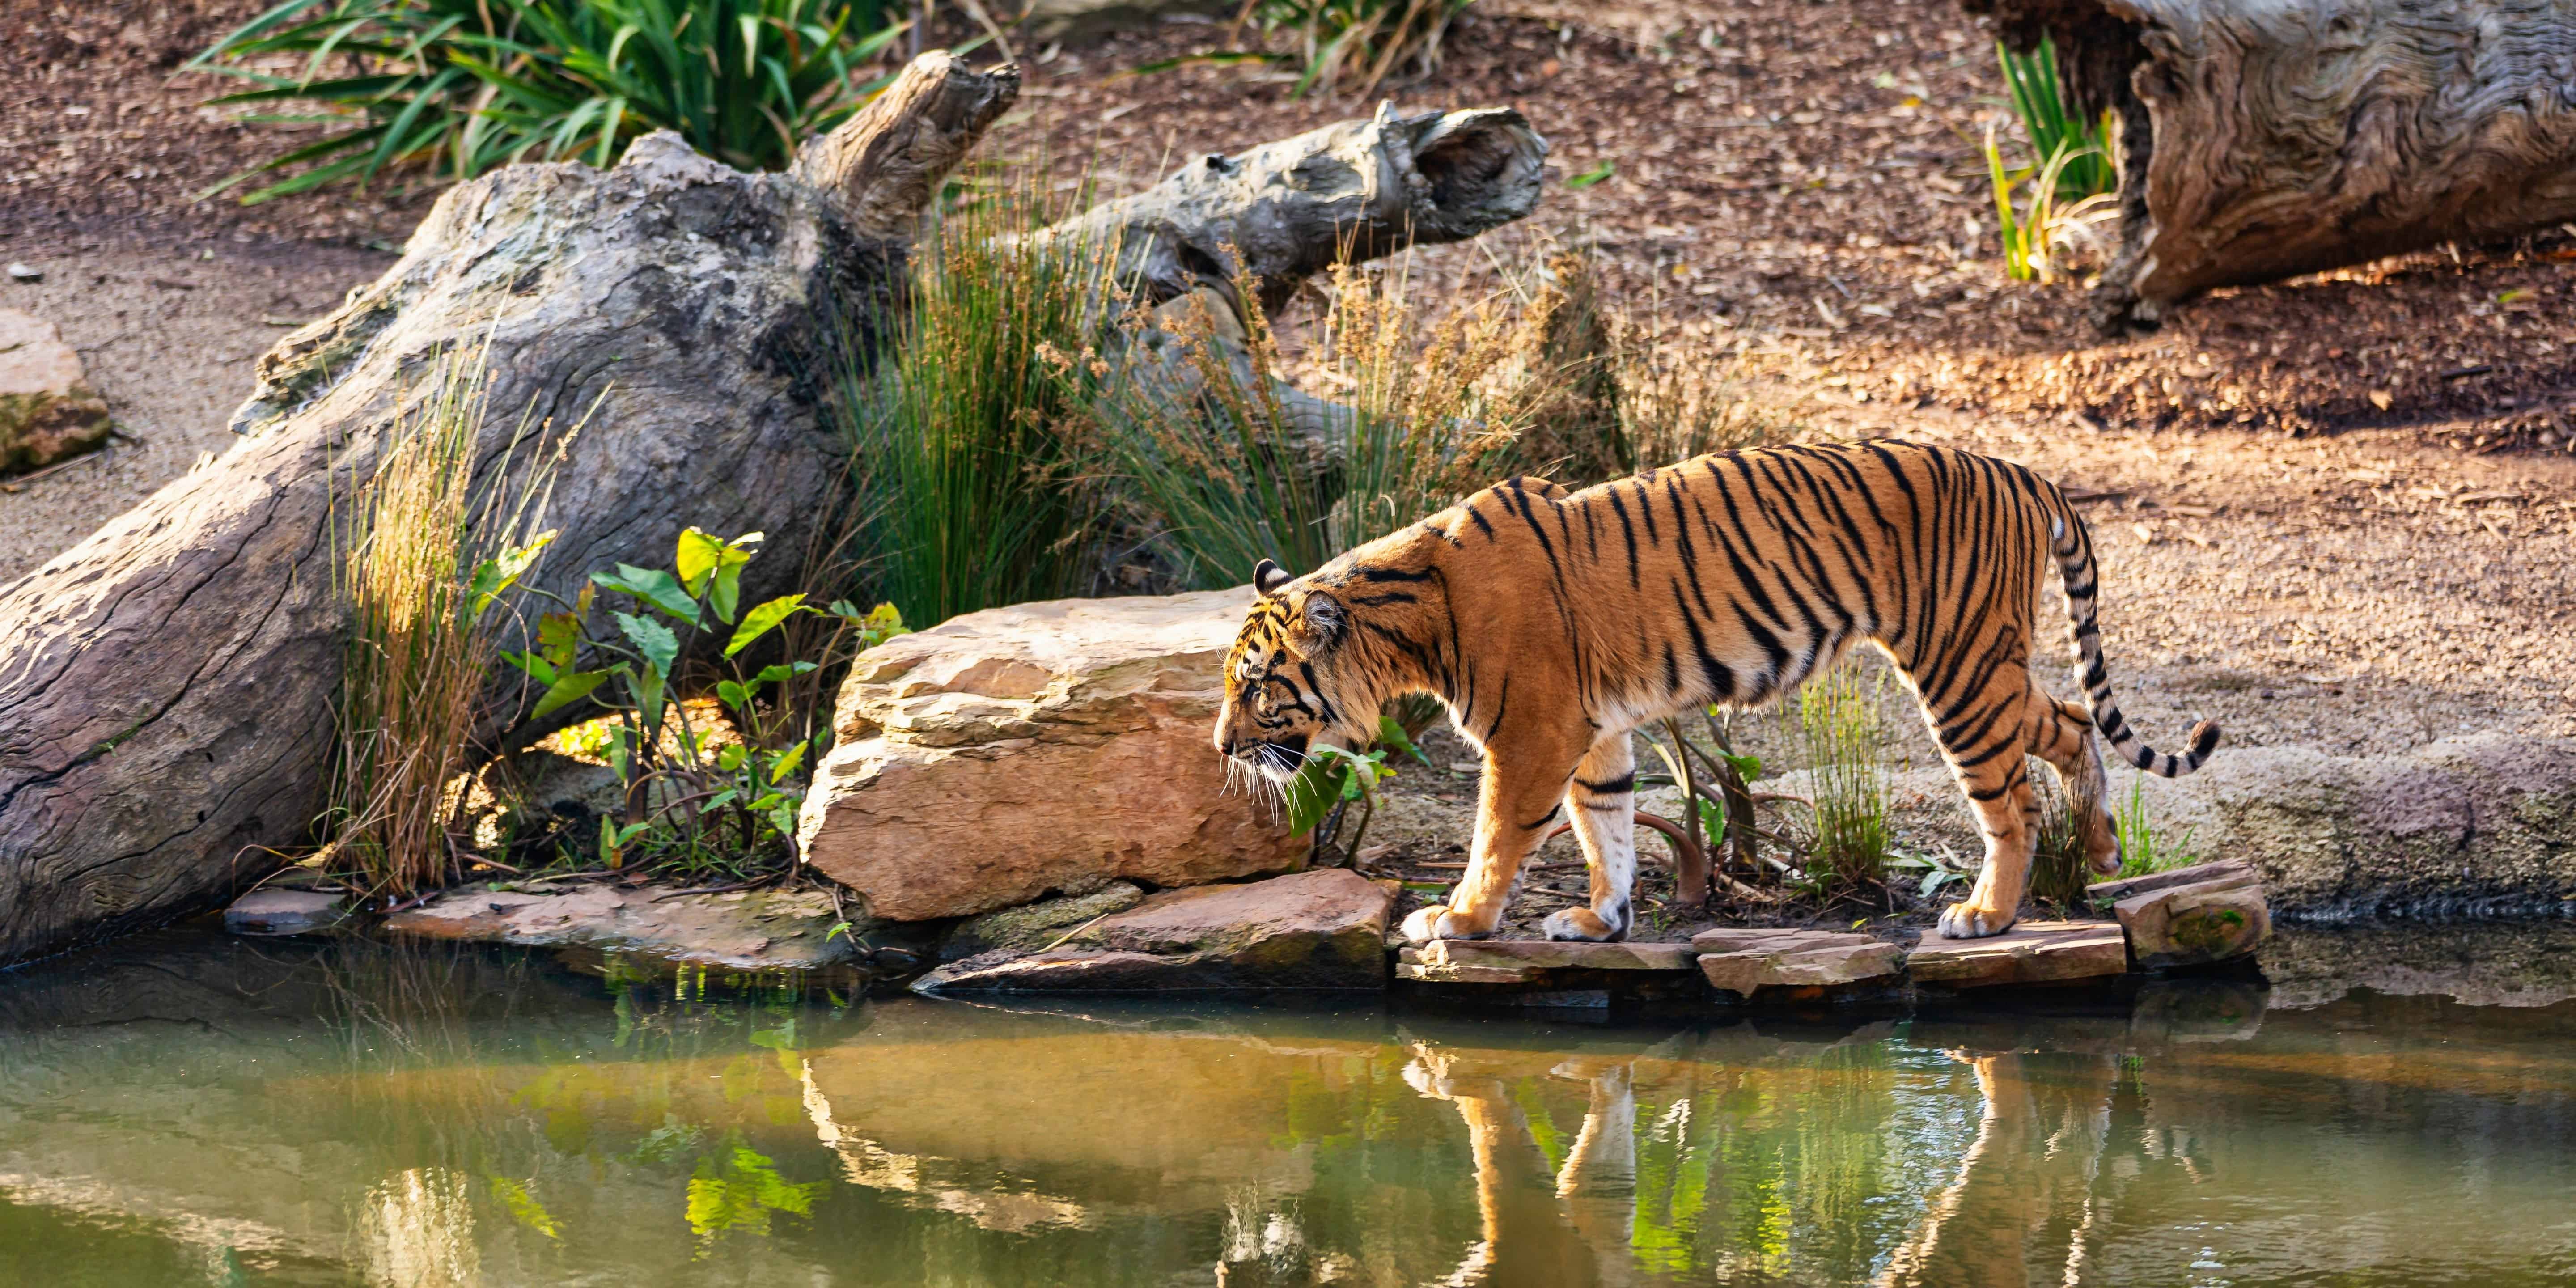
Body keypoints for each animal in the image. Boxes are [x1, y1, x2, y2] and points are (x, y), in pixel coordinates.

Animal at [1212, 439, 2219, 943]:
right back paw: (2101, 848)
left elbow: (1497, 838)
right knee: (2075, 721)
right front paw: (1600, 918)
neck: (1408, 619)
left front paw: (1457, 920)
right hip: (1989, 666)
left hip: (1958, 666)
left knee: (2010, 800)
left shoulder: (1531, 736)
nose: (1220, 747)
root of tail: (2021, 468)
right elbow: (1608, 828)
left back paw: (1987, 913)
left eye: (1259, 689)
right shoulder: (1594, 733)